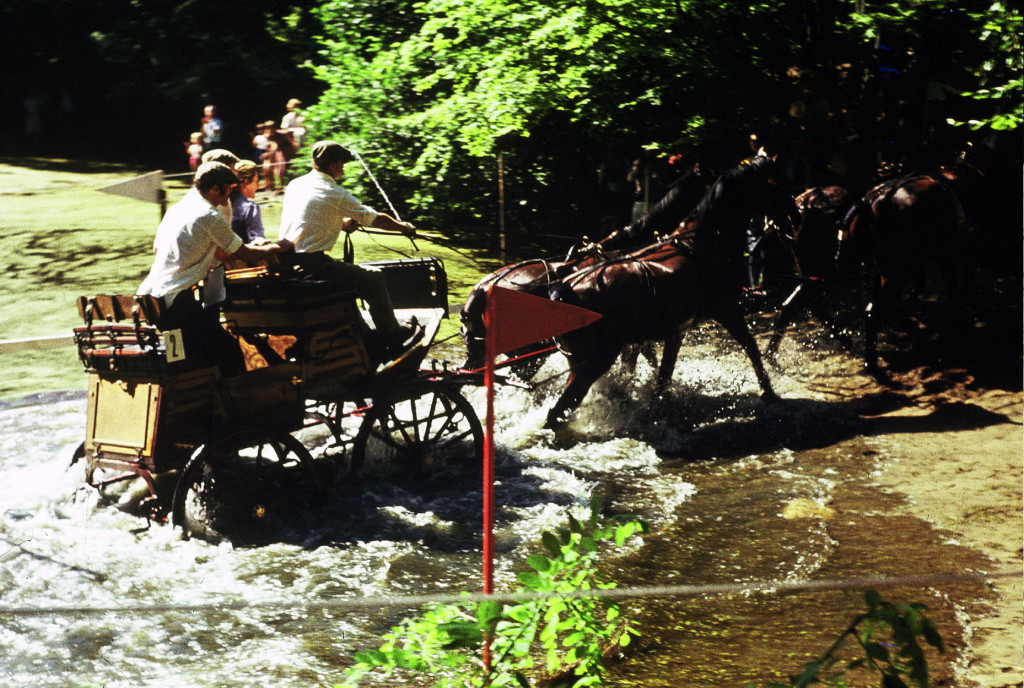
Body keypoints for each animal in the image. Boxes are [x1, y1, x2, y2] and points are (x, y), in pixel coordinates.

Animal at [544, 153, 798, 427]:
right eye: (779, 184)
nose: (796, 218)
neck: (702, 243)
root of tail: (562, 291)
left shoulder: (674, 332)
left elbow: (663, 374)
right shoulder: (726, 309)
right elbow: (750, 346)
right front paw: (769, 392)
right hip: (593, 363)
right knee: (559, 411)